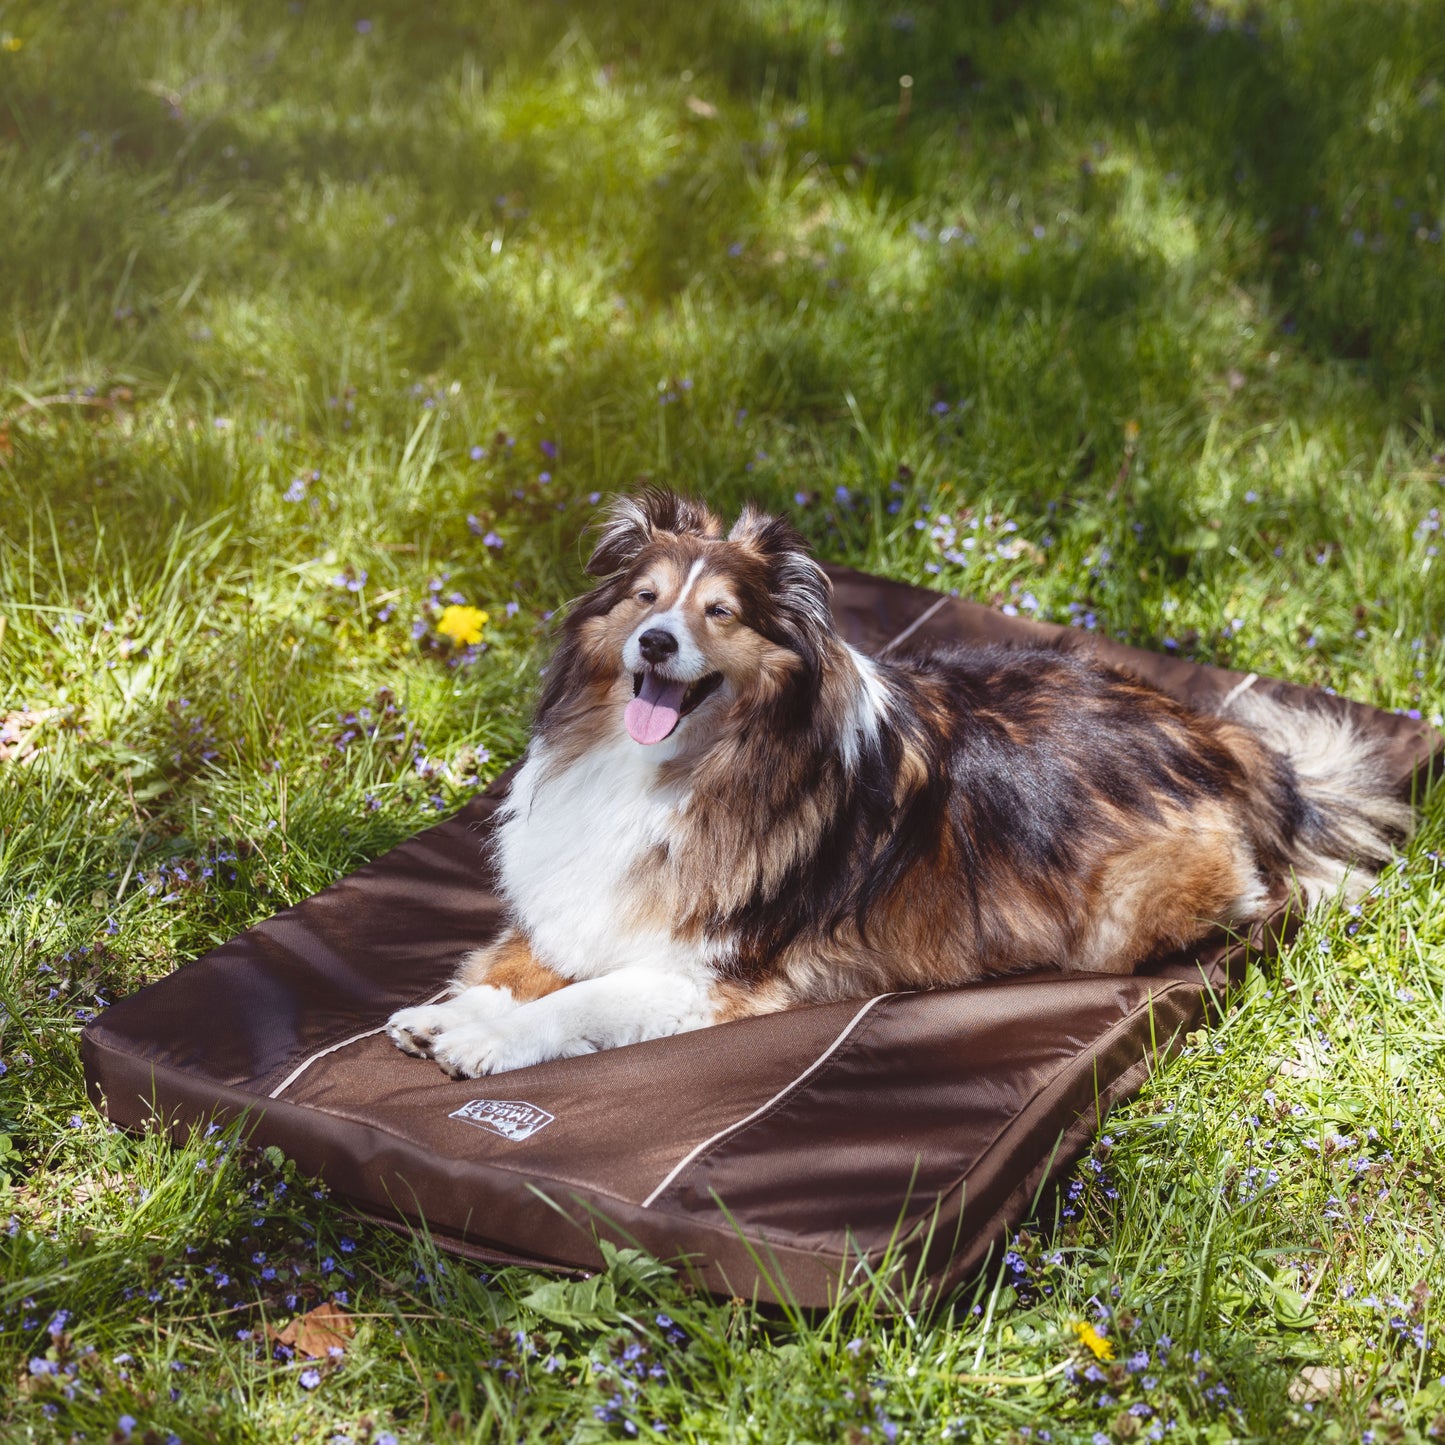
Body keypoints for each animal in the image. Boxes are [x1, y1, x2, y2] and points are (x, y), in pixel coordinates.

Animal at [384, 491, 1410, 1080]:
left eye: (720, 613)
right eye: (645, 598)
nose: (656, 643)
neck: (684, 767)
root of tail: (1221, 736)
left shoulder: (720, 973)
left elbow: (579, 1000)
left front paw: (486, 1039)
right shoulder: (584, 902)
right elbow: (515, 962)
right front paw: (448, 1013)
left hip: (1131, 908)